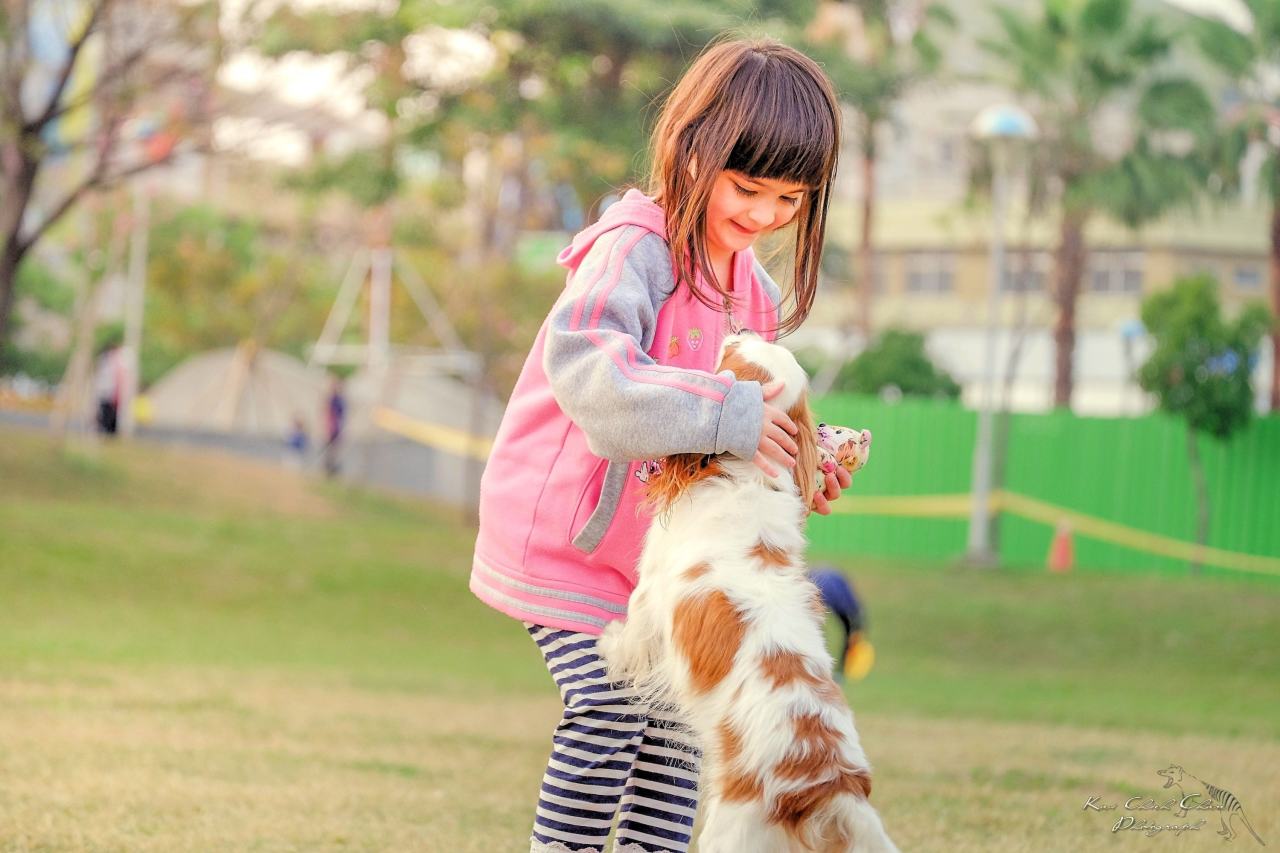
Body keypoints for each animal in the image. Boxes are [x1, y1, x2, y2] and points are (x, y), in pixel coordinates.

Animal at [601, 330, 896, 850]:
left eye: (732, 355)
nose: (742, 329)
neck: (748, 477)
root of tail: (830, 786)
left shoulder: (651, 590)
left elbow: (632, 634)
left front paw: (609, 644)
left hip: (730, 829)